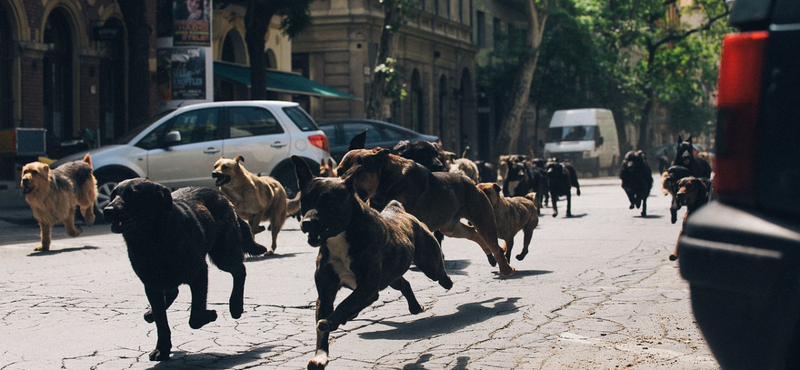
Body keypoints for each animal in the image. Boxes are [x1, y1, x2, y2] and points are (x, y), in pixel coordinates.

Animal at [101, 178, 266, 362]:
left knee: (240, 270)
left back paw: (235, 306)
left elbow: (195, 317)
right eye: (113, 195)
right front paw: (162, 348)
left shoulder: (199, 274)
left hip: (223, 255)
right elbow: (162, 322)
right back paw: (150, 313)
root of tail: (221, 196)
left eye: (133, 195)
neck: (153, 240)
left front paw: (210, 314)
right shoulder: (151, 285)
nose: (107, 211)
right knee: (173, 292)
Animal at [290, 156, 454, 370]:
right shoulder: (326, 294)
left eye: (329, 201)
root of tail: (398, 209)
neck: (342, 236)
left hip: (428, 263)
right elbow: (325, 326)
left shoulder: (367, 287)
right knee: (403, 284)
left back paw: (446, 282)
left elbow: (344, 304)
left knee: (438, 273)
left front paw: (332, 321)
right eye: (305, 201)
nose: (307, 222)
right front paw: (320, 356)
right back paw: (413, 306)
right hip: (390, 276)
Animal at [336, 147, 512, 278]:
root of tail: (472, 182)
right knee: (474, 234)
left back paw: (506, 268)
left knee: (493, 244)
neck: (385, 182)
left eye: (358, 172)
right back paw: (491, 256)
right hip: (451, 228)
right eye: (338, 172)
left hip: (483, 221)